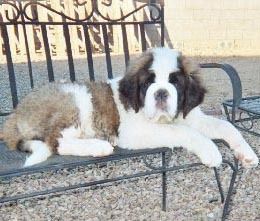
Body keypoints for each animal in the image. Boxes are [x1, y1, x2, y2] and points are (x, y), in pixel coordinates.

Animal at [1, 47, 258, 167]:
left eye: (175, 82)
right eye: (148, 83)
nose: (161, 92)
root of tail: (15, 112)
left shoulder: (191, 116)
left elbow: (227, 127)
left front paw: (247, 153)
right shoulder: (135, 132)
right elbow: (183, 132)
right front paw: (211, 151)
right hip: (76, 98)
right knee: (57, 141)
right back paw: (98, 146)